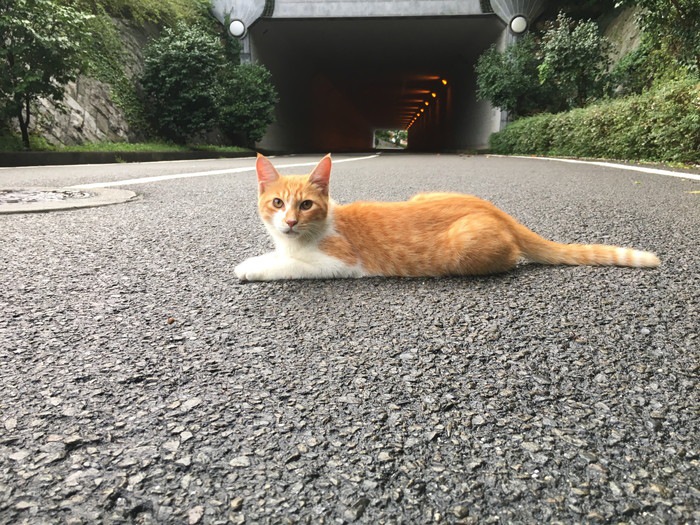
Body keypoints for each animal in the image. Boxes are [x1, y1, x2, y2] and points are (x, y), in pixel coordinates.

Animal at [235, 154, 660, 280]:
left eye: (305, 205)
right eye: (278, 203)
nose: (290, 222)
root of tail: (491, 207)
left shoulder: (339, 261)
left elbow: (290, 265)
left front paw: (254, 267)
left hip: (465, 250)